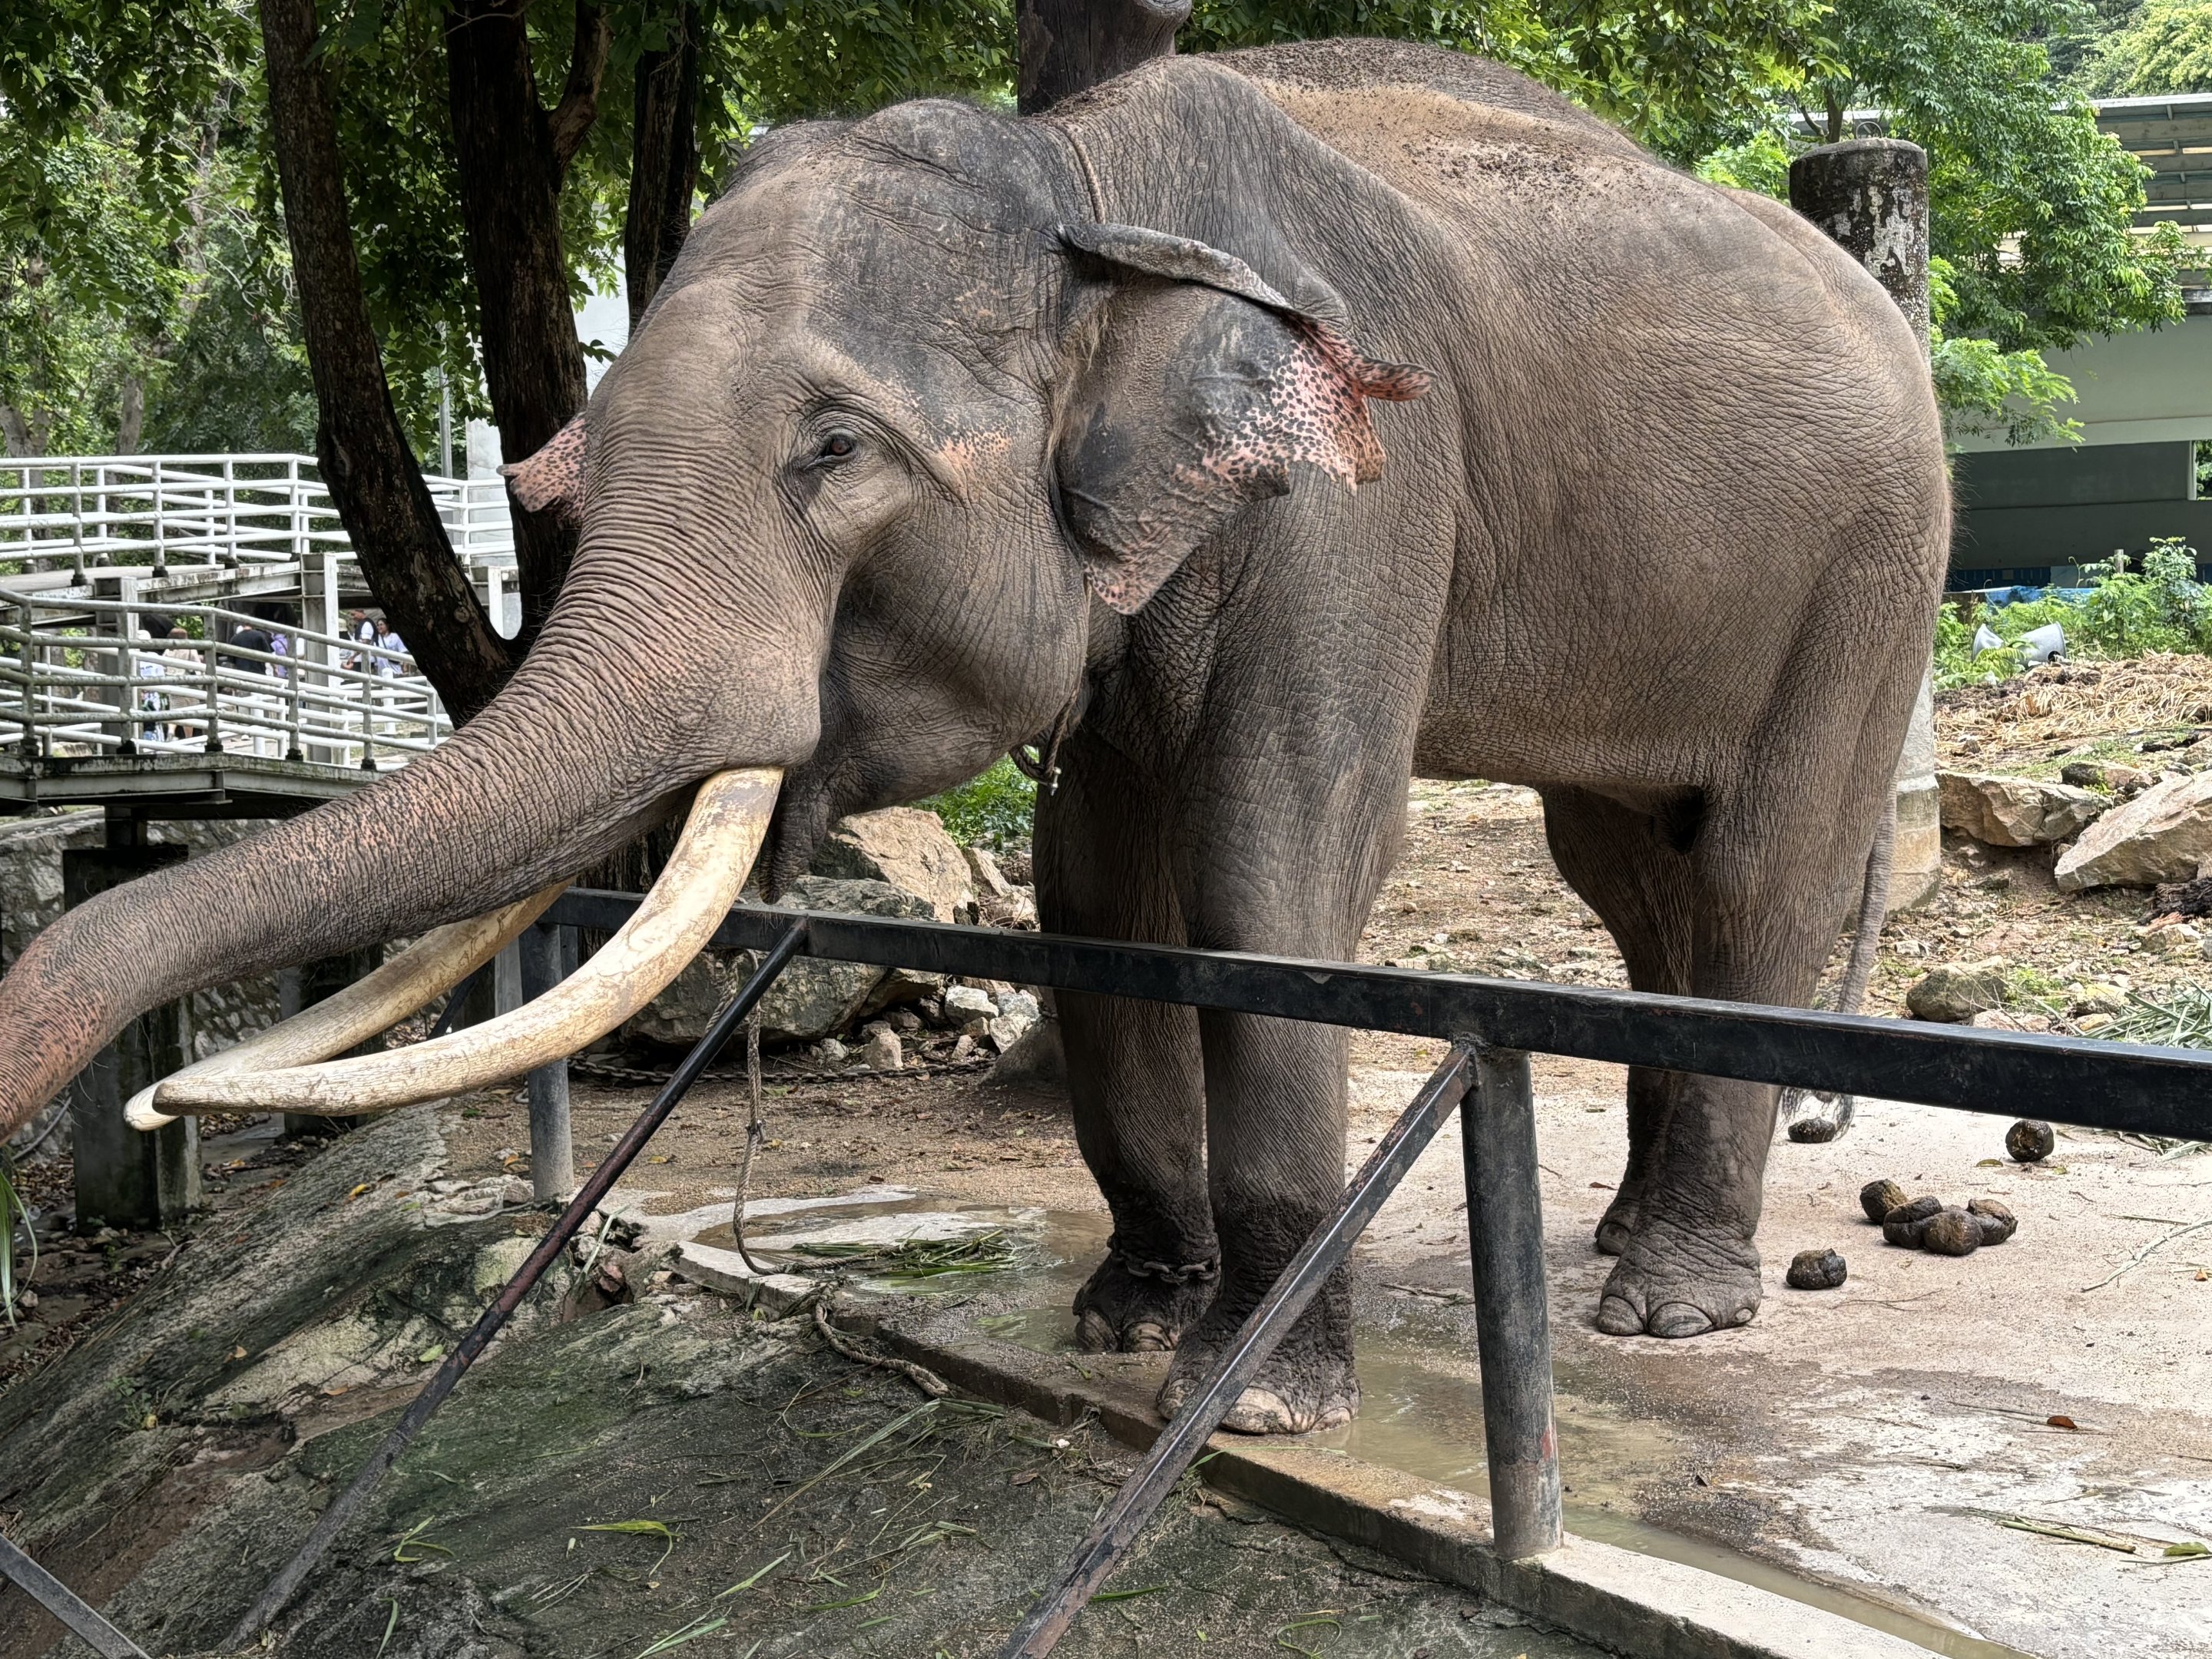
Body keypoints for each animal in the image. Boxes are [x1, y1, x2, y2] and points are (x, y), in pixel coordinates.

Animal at [0, 37, 1947, 1435]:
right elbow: (1098, 886)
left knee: (1757, 863)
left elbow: (1274, 864)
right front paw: (1124, 1319)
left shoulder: (1361, 497)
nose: (128, 1082)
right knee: (1624, 862)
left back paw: (1668, 1301)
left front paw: (1260, 1402)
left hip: (1876, 563)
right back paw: (1629, 1239)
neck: (1080, 181)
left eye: (834, 452)